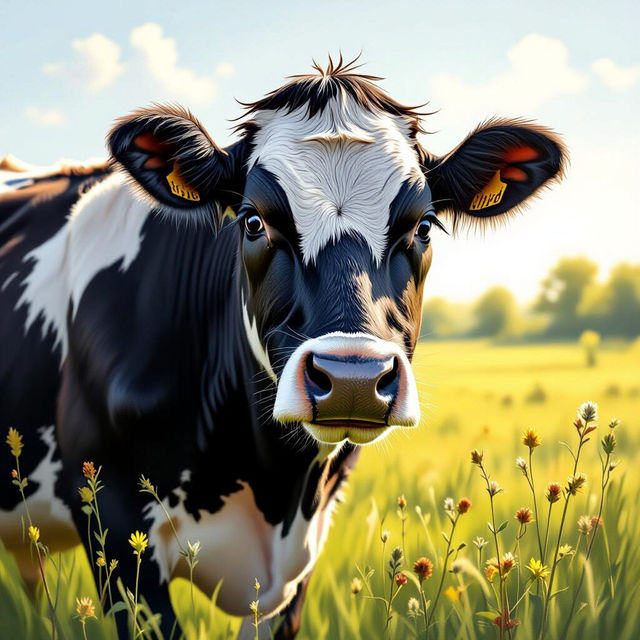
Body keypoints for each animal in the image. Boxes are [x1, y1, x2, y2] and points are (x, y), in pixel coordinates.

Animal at [0, 57, 565, 638]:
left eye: (424, 226)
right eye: (253, 221)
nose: (354, 380)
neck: (271, 484)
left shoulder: (300, 560)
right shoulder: (112, 520)